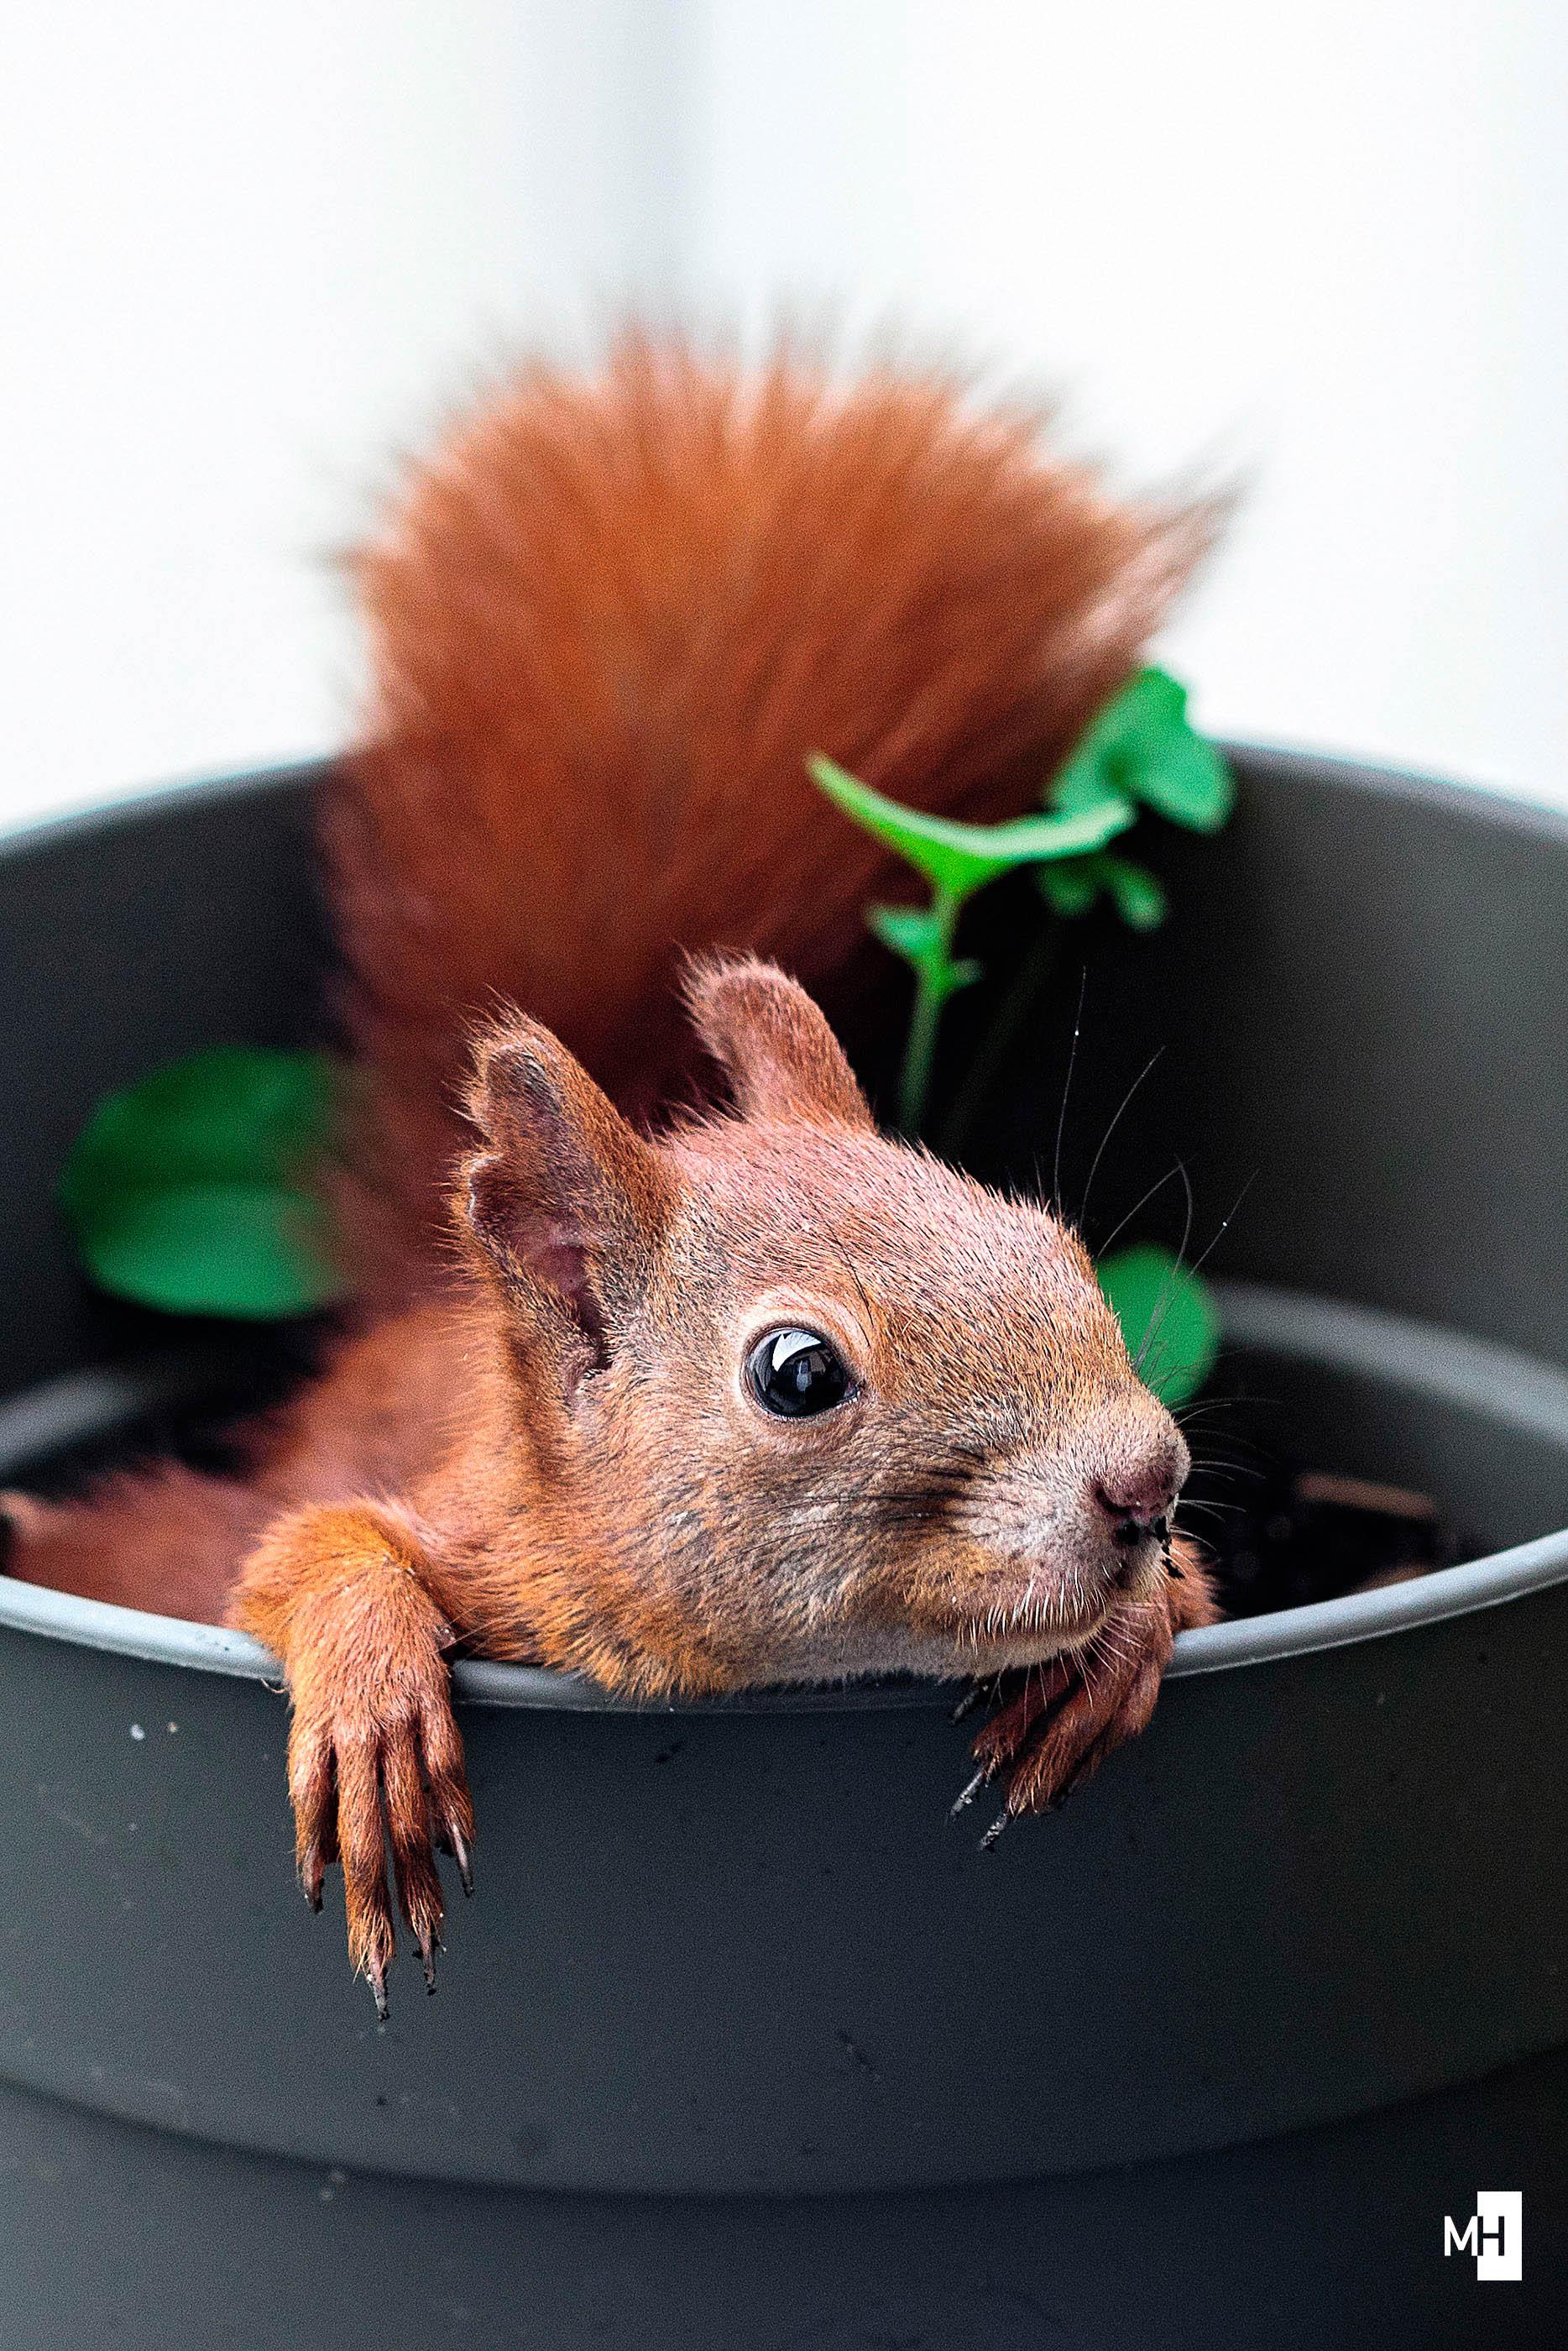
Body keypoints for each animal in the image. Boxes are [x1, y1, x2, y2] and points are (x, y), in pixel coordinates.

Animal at [4, 336, 1220, 2013]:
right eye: (796, 1374)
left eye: (1056, 1244)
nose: (1143, 1476)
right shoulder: (468, 1538)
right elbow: (297, 1554)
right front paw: (372, 1695)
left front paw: (1127, 1635)